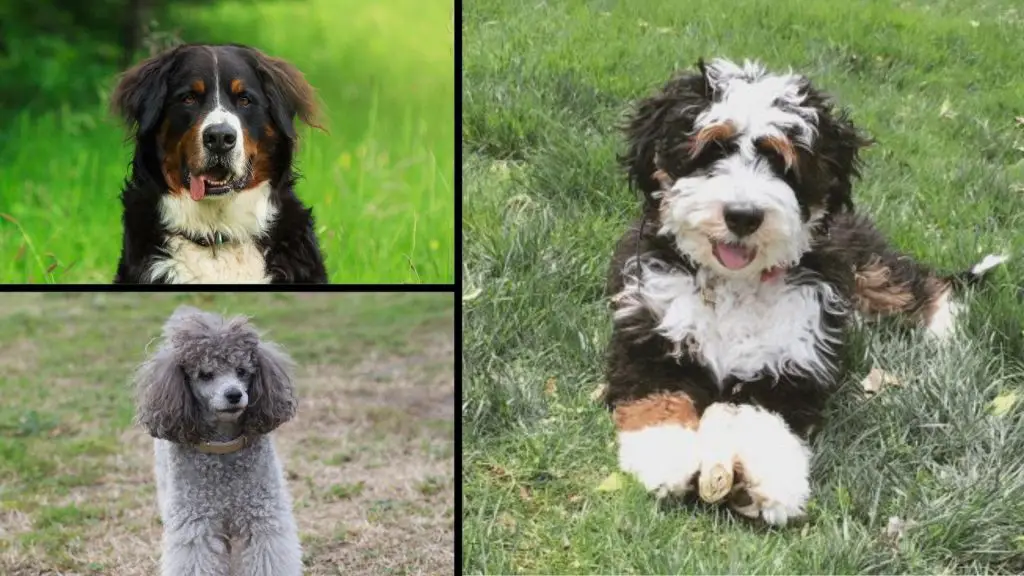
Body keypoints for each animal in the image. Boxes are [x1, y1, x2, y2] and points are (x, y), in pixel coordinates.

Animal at [133, 303, 299, 569]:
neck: (223, 446)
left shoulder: (262, 515)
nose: (234, 395)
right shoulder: (196, 522)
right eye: (205, 374)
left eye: (242, 371)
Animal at [602, 58, 1003, 524]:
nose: (743, 216)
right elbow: (659, 399)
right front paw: (666, 457)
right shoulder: (649, 335)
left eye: (781, 160)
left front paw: (767, 483)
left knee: (919, 283)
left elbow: (766, 420)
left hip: (866, 266)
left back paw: (944, 333)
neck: (736, 283)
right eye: (712, 149)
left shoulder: (794, 361)